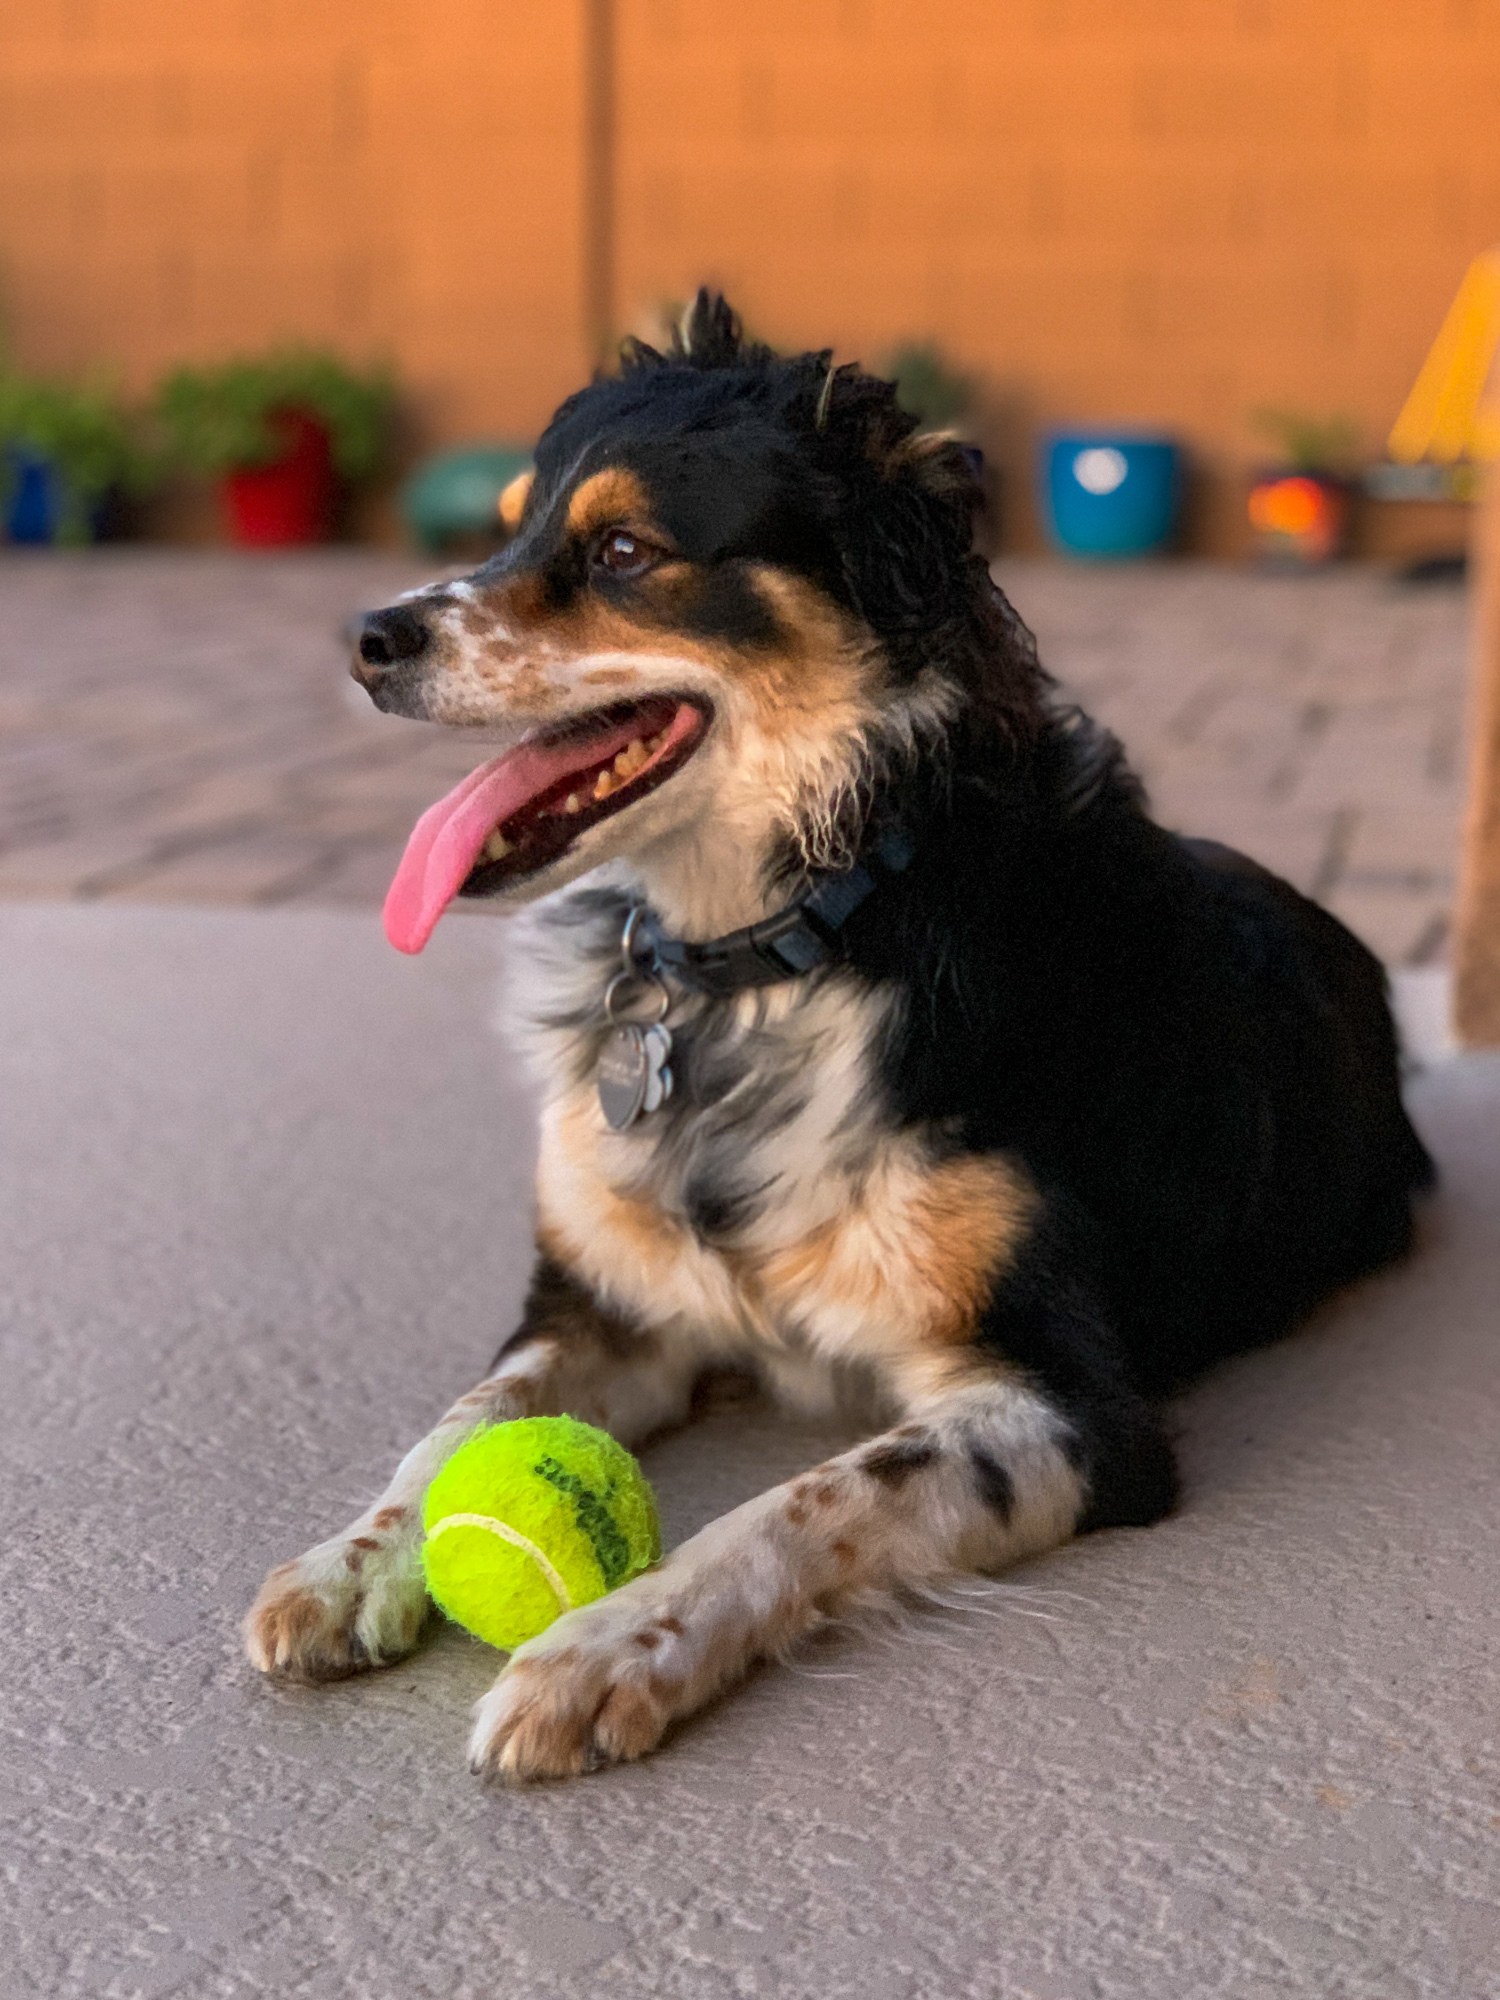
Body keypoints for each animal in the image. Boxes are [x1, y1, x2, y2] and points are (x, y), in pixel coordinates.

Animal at [244, 290, 1432, 1776]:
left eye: (623, 550)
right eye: (509, 525)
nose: (366, 636)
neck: (764, 959)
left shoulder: (1075, 1404)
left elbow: (805, 1499)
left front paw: (603, 1644)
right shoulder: (601, 1307)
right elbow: (450, 1431)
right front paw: (348, 1563)